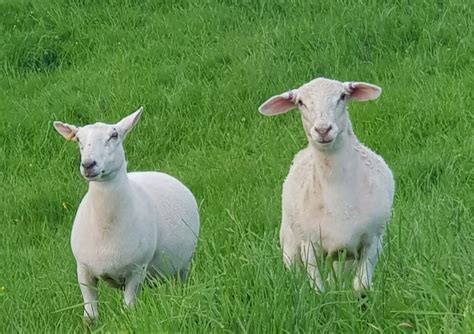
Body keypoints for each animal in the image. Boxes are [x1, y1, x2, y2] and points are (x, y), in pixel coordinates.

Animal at [52, 107, 199, 320]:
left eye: (114, 135)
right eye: (78, 139)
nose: (88, 164)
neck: (105, 226)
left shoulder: (136, 271)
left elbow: (128, 309)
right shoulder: (83, 270)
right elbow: (90, 316)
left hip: (183, 265)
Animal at [258, 77, 394, 292]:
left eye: (342, 96)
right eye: (300, 102)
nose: (322, 130)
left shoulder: (373, 242)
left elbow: (360, 287)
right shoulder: (309, 246)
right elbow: (318, 290)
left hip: (343, 257)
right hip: (290, 244)